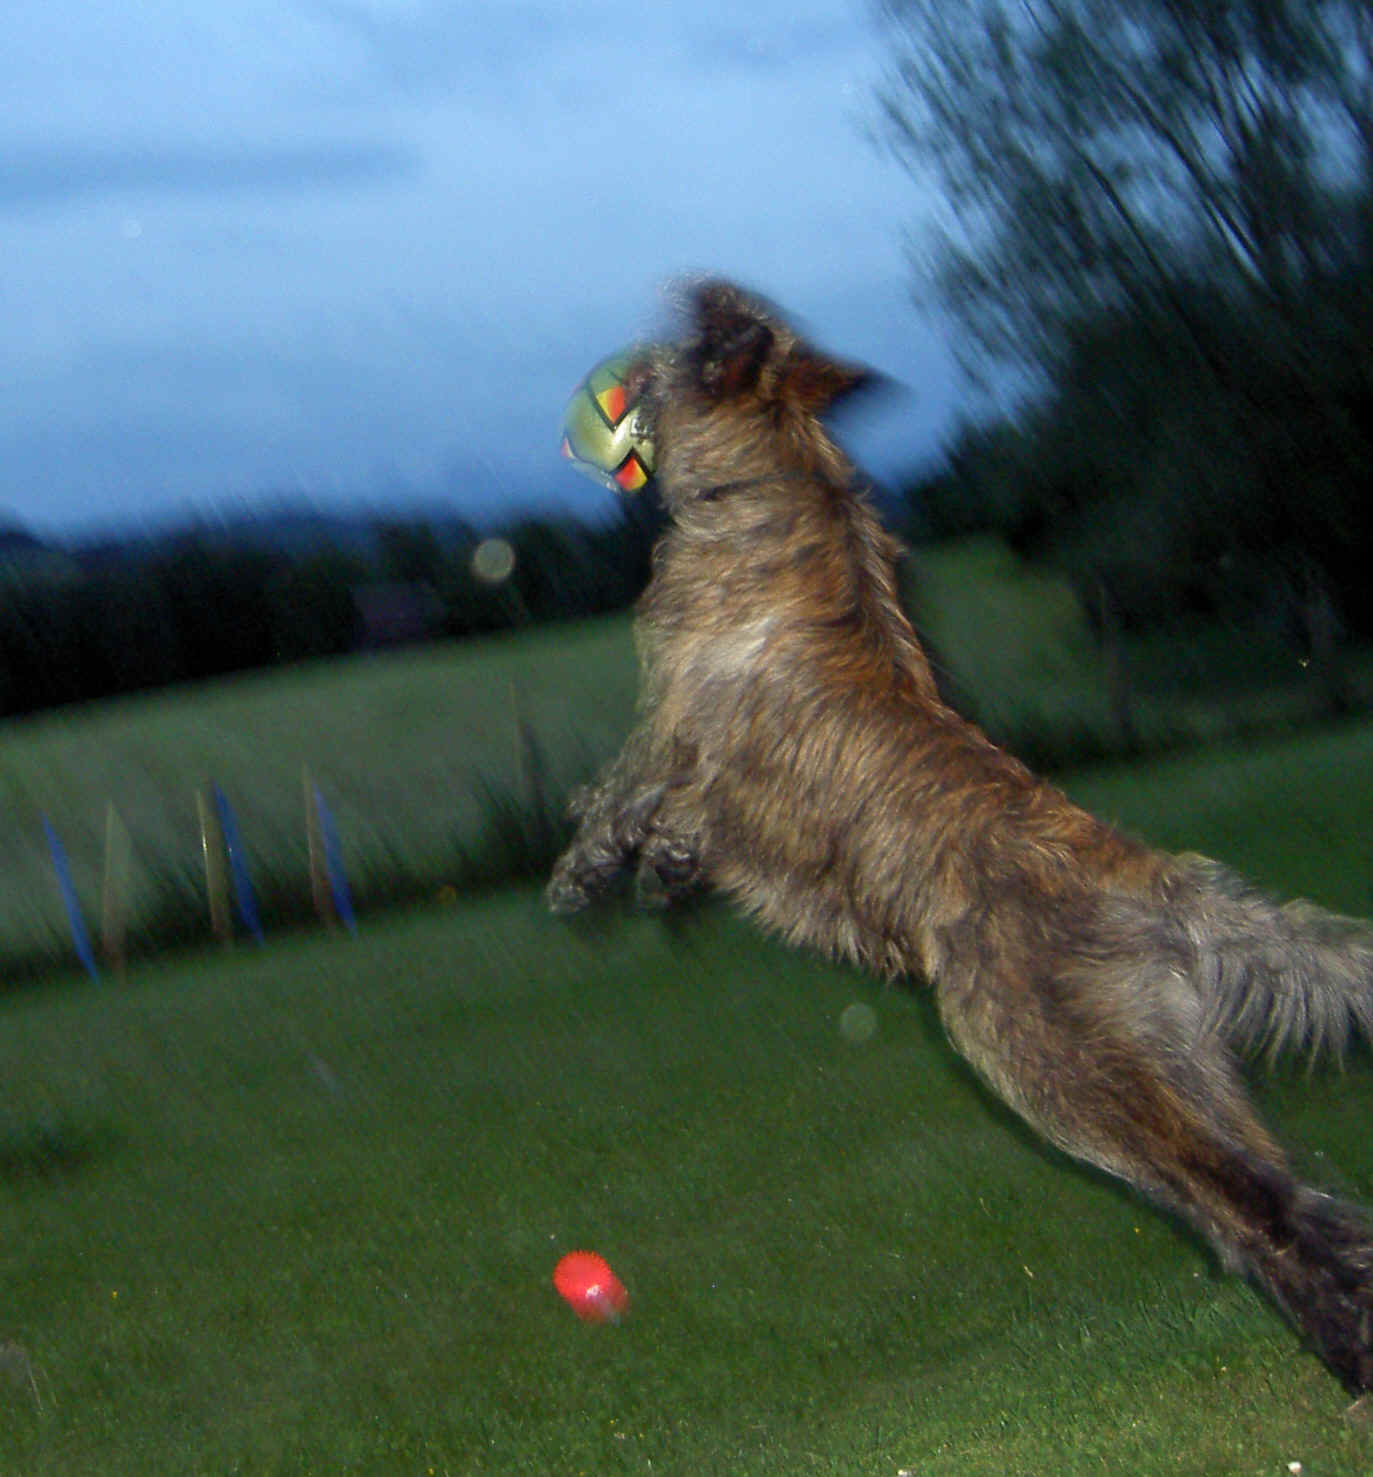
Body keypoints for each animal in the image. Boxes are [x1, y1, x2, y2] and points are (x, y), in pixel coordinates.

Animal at [546, 279, 1370, 1394]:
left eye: (697, 333)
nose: (683, 294)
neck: (777, 470)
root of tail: (1141, 878)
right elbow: (663, 818)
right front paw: (661, 876)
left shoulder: (676, 726)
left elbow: (623, 792)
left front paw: (592, 872)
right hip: (1174, 1070)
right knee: (1261, 1203)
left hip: (1059, 1072)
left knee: (1267, 1206)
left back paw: (1349, 1355)